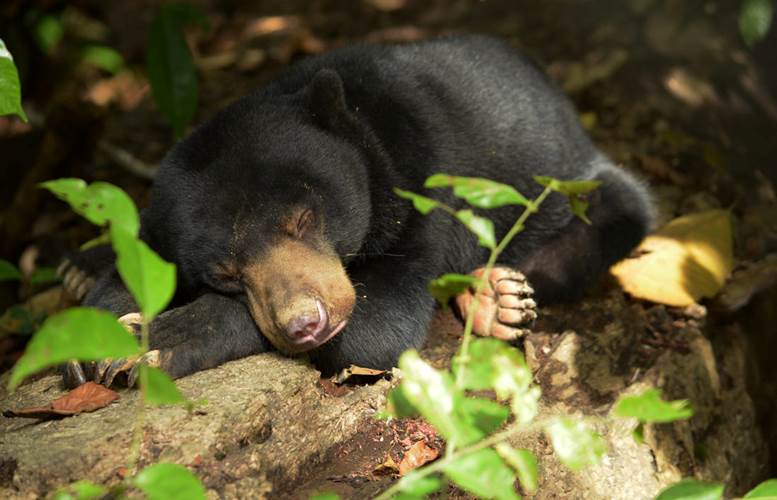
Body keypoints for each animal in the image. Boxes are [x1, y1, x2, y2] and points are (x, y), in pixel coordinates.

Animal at [62, 34, 656, 386]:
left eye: (304, 220)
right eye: (225, 272)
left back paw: (494, 297)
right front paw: (86, 340)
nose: (306, 324)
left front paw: (155, 342)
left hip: (570, 186)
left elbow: (373, 332)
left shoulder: (424, 193)